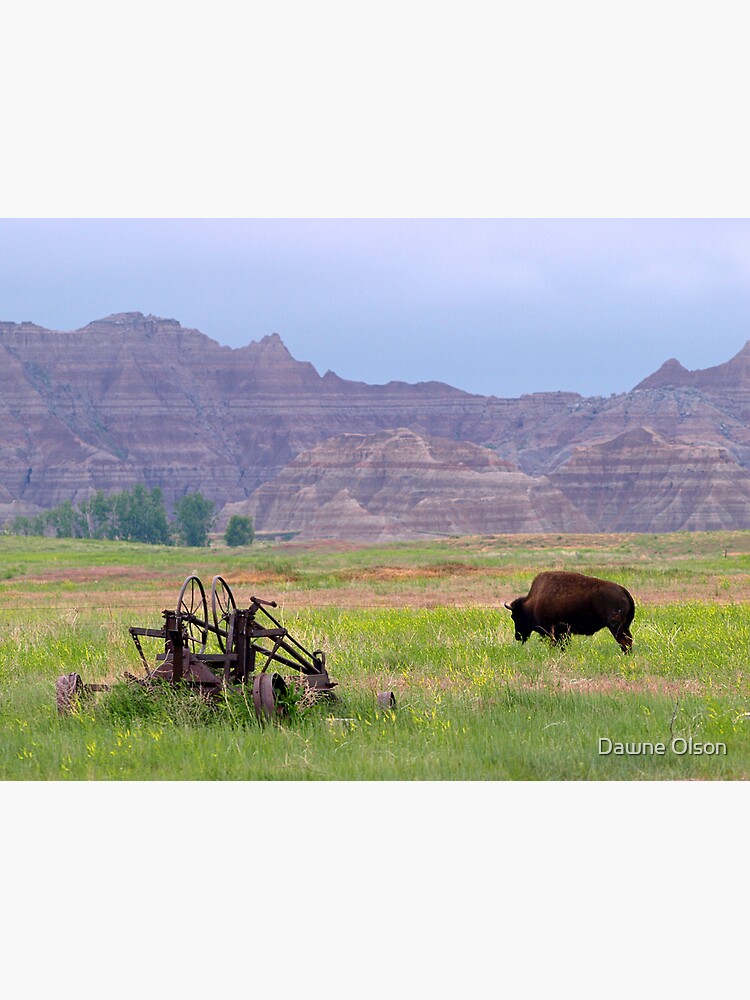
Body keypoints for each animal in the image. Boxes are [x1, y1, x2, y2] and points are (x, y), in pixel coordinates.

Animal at [506, 576, 636, 652]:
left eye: (514, 616)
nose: (517, 636)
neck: (533, 602)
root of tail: (623, 591)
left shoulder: (554, 631)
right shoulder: (564, 632)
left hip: (616, 627)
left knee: (624, 641)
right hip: (625, 627)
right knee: (629, 640)